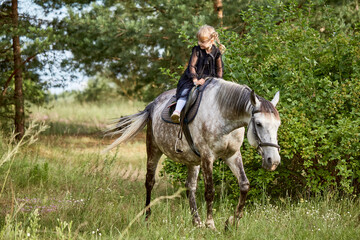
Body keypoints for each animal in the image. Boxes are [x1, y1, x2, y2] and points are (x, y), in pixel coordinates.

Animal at [105, 78, 282, 229]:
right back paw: (147, 218)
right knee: (150, 182)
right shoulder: (207, 157)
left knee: (190, 186)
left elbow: (244, 185)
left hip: (193, 161)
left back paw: (196, 222)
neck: (223, 115)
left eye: (278, 125)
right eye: (258, 124)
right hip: (153, 149)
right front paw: (211, 224)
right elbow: (210, 191)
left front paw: (231, 222)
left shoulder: (232, 155)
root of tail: (153, 104)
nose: (272, 161)